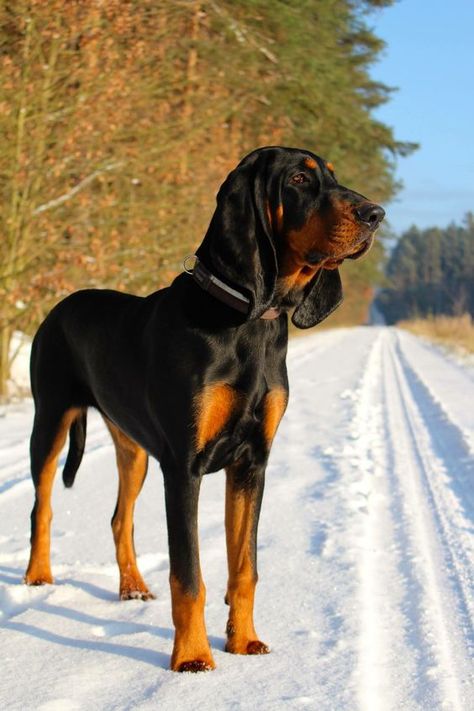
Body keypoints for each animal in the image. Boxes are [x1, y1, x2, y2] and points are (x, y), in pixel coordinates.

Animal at [23, 146, 386, 672]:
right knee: (43, 507)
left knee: (119, 518)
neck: (251, 321)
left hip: (132, 448)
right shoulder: (183, 466)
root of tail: (60, 306)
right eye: (298, 179)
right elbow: (189, 575)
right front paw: (193, 658)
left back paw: (132, 587)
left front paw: (244, 640)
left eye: (334, 178)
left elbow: (245, 566)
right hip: (50, 420)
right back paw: (37, 574)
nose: (375, 215)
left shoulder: (252, 463)